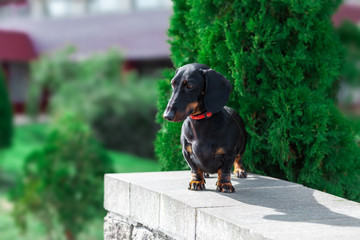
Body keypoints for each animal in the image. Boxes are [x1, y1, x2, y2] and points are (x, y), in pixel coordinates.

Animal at [164, 63, 246, 193]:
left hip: (243, 144)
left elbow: (224, 170)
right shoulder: (187, 152)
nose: (167, 115)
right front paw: (196, 181)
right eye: (173, 84)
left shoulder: (229, 153)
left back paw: (239, 170)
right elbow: (195, 169)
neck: (200, 123)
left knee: (239, 158)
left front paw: (224, 184)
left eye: (189, 85)